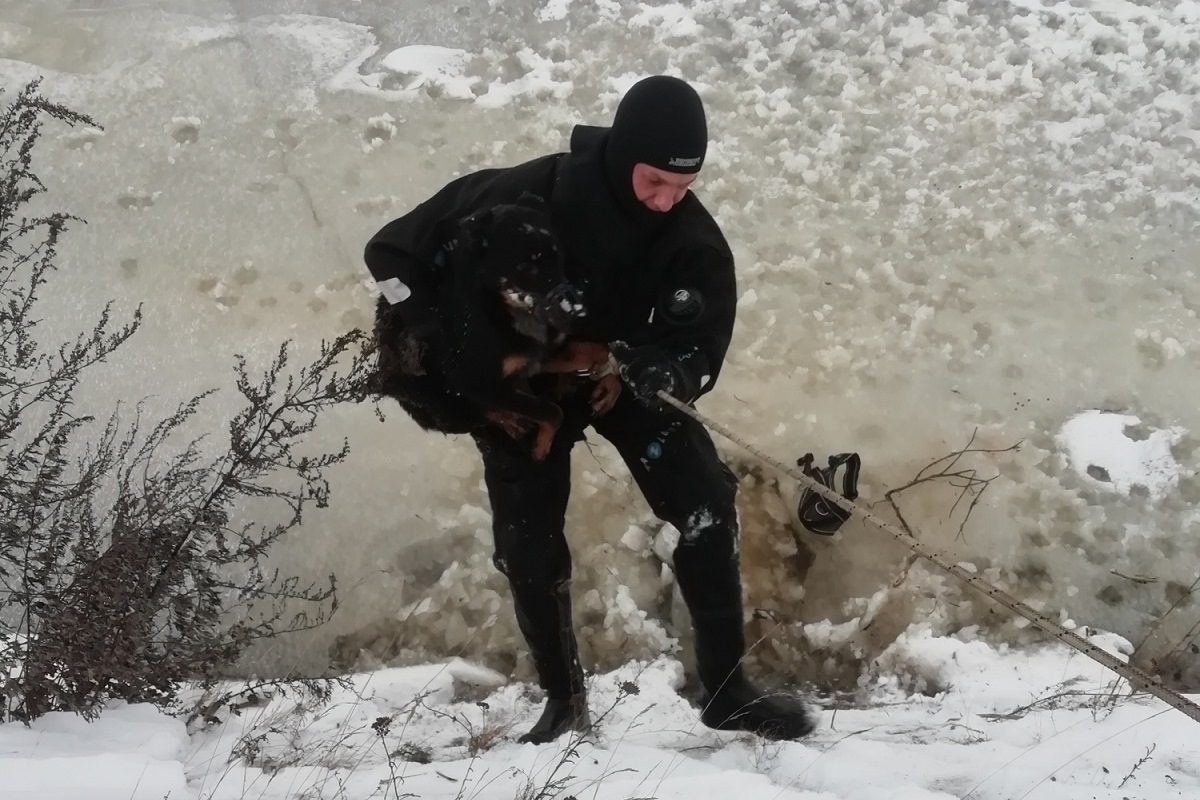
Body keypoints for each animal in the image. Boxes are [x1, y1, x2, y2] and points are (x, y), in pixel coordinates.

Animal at [369, 194, 614, 460]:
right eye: (527, 267)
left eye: (559, 256)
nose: (579, 314)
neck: (504, 309)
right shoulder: (479, 384)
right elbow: (551, 411)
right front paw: (542, 445)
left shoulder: (538, 357)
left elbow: (596, 350)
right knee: (472, 415)